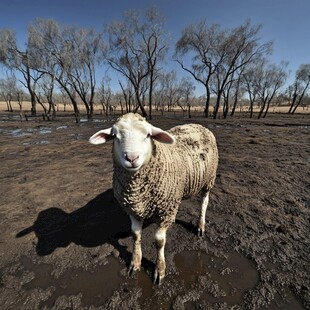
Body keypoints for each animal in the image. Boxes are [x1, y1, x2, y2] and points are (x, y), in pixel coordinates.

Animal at [88, 113, 219, 284]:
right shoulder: (132, 209)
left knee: (204, 202)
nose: (132, 158)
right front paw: (135, 262)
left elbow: (159, 241)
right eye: (115, 136)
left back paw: (200, 226)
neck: (136, 190)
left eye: (148, 135)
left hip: (208, 179)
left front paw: (159, 269)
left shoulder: (165, 210)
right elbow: (135, 235)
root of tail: (197, 124)